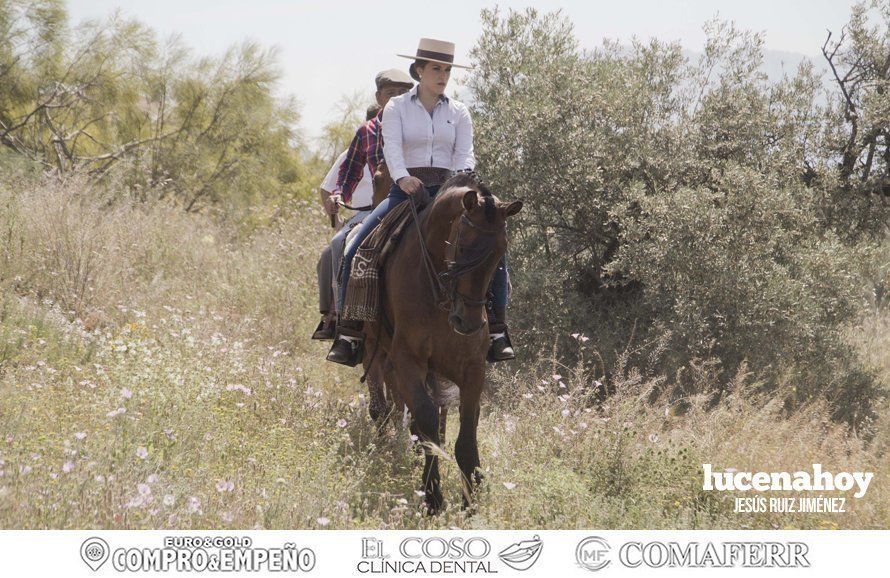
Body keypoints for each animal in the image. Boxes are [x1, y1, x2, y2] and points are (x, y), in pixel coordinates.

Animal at [360, 173, 520, 510]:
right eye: (462, 246)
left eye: (500, 253)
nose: (467, 323)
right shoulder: (407, 362)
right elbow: (426, 420)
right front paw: (432, 496)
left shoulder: (473, 368)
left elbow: (466, 432)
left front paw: (472, 498)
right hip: (372, 348)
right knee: (383, 409)